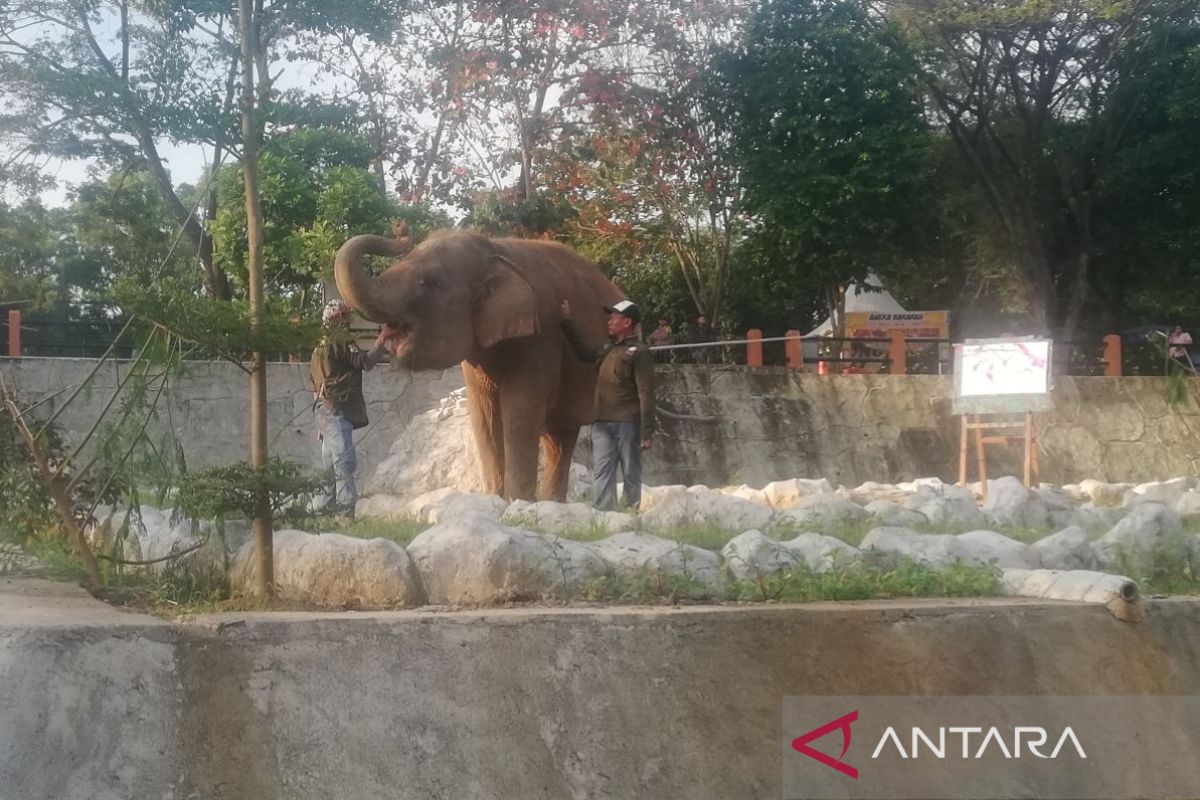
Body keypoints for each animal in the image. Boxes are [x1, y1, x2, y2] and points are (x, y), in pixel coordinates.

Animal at [333, 226, 624, 501]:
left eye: (430, 283)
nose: (401, 229)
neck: (493, 249)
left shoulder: (540, 337)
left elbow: (520, 409)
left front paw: (516, 502)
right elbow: (482, 411)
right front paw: (493, 498)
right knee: (559, 437)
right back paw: (553, 502)